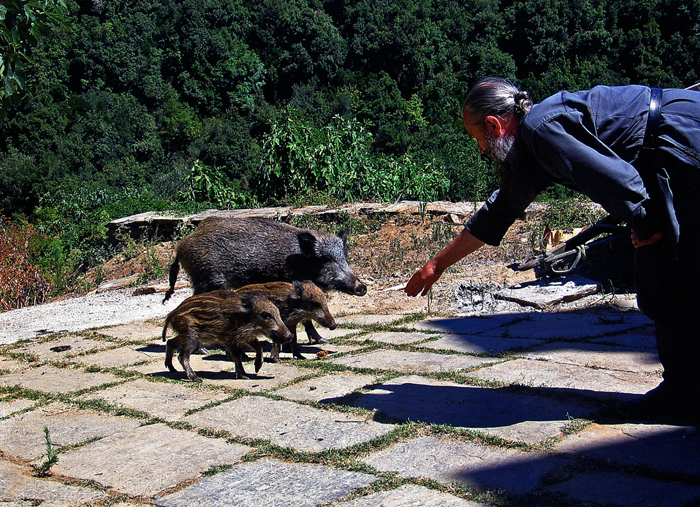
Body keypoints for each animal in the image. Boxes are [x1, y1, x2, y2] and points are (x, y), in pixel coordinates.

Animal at [161, 290, 293, 382]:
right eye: (265, 315)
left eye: (277, 312)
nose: (290, 336)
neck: (245, 318)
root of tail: (172, 314)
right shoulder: (230, 338)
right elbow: (238, 356)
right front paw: (244, 376)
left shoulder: (244, 336)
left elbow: (258, 347)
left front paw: (256, 368)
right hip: (190, 335)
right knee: (182, 356)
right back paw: (196, 379)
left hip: (187, 335)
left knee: (170, 342)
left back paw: (172, 369)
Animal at [162, 216, 366, 344]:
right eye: (325, 259)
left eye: (343, 257)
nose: (362, 287)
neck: (301, 262)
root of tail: (182, 245)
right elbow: (306, 319)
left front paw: (322, 340)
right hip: (205, 278)